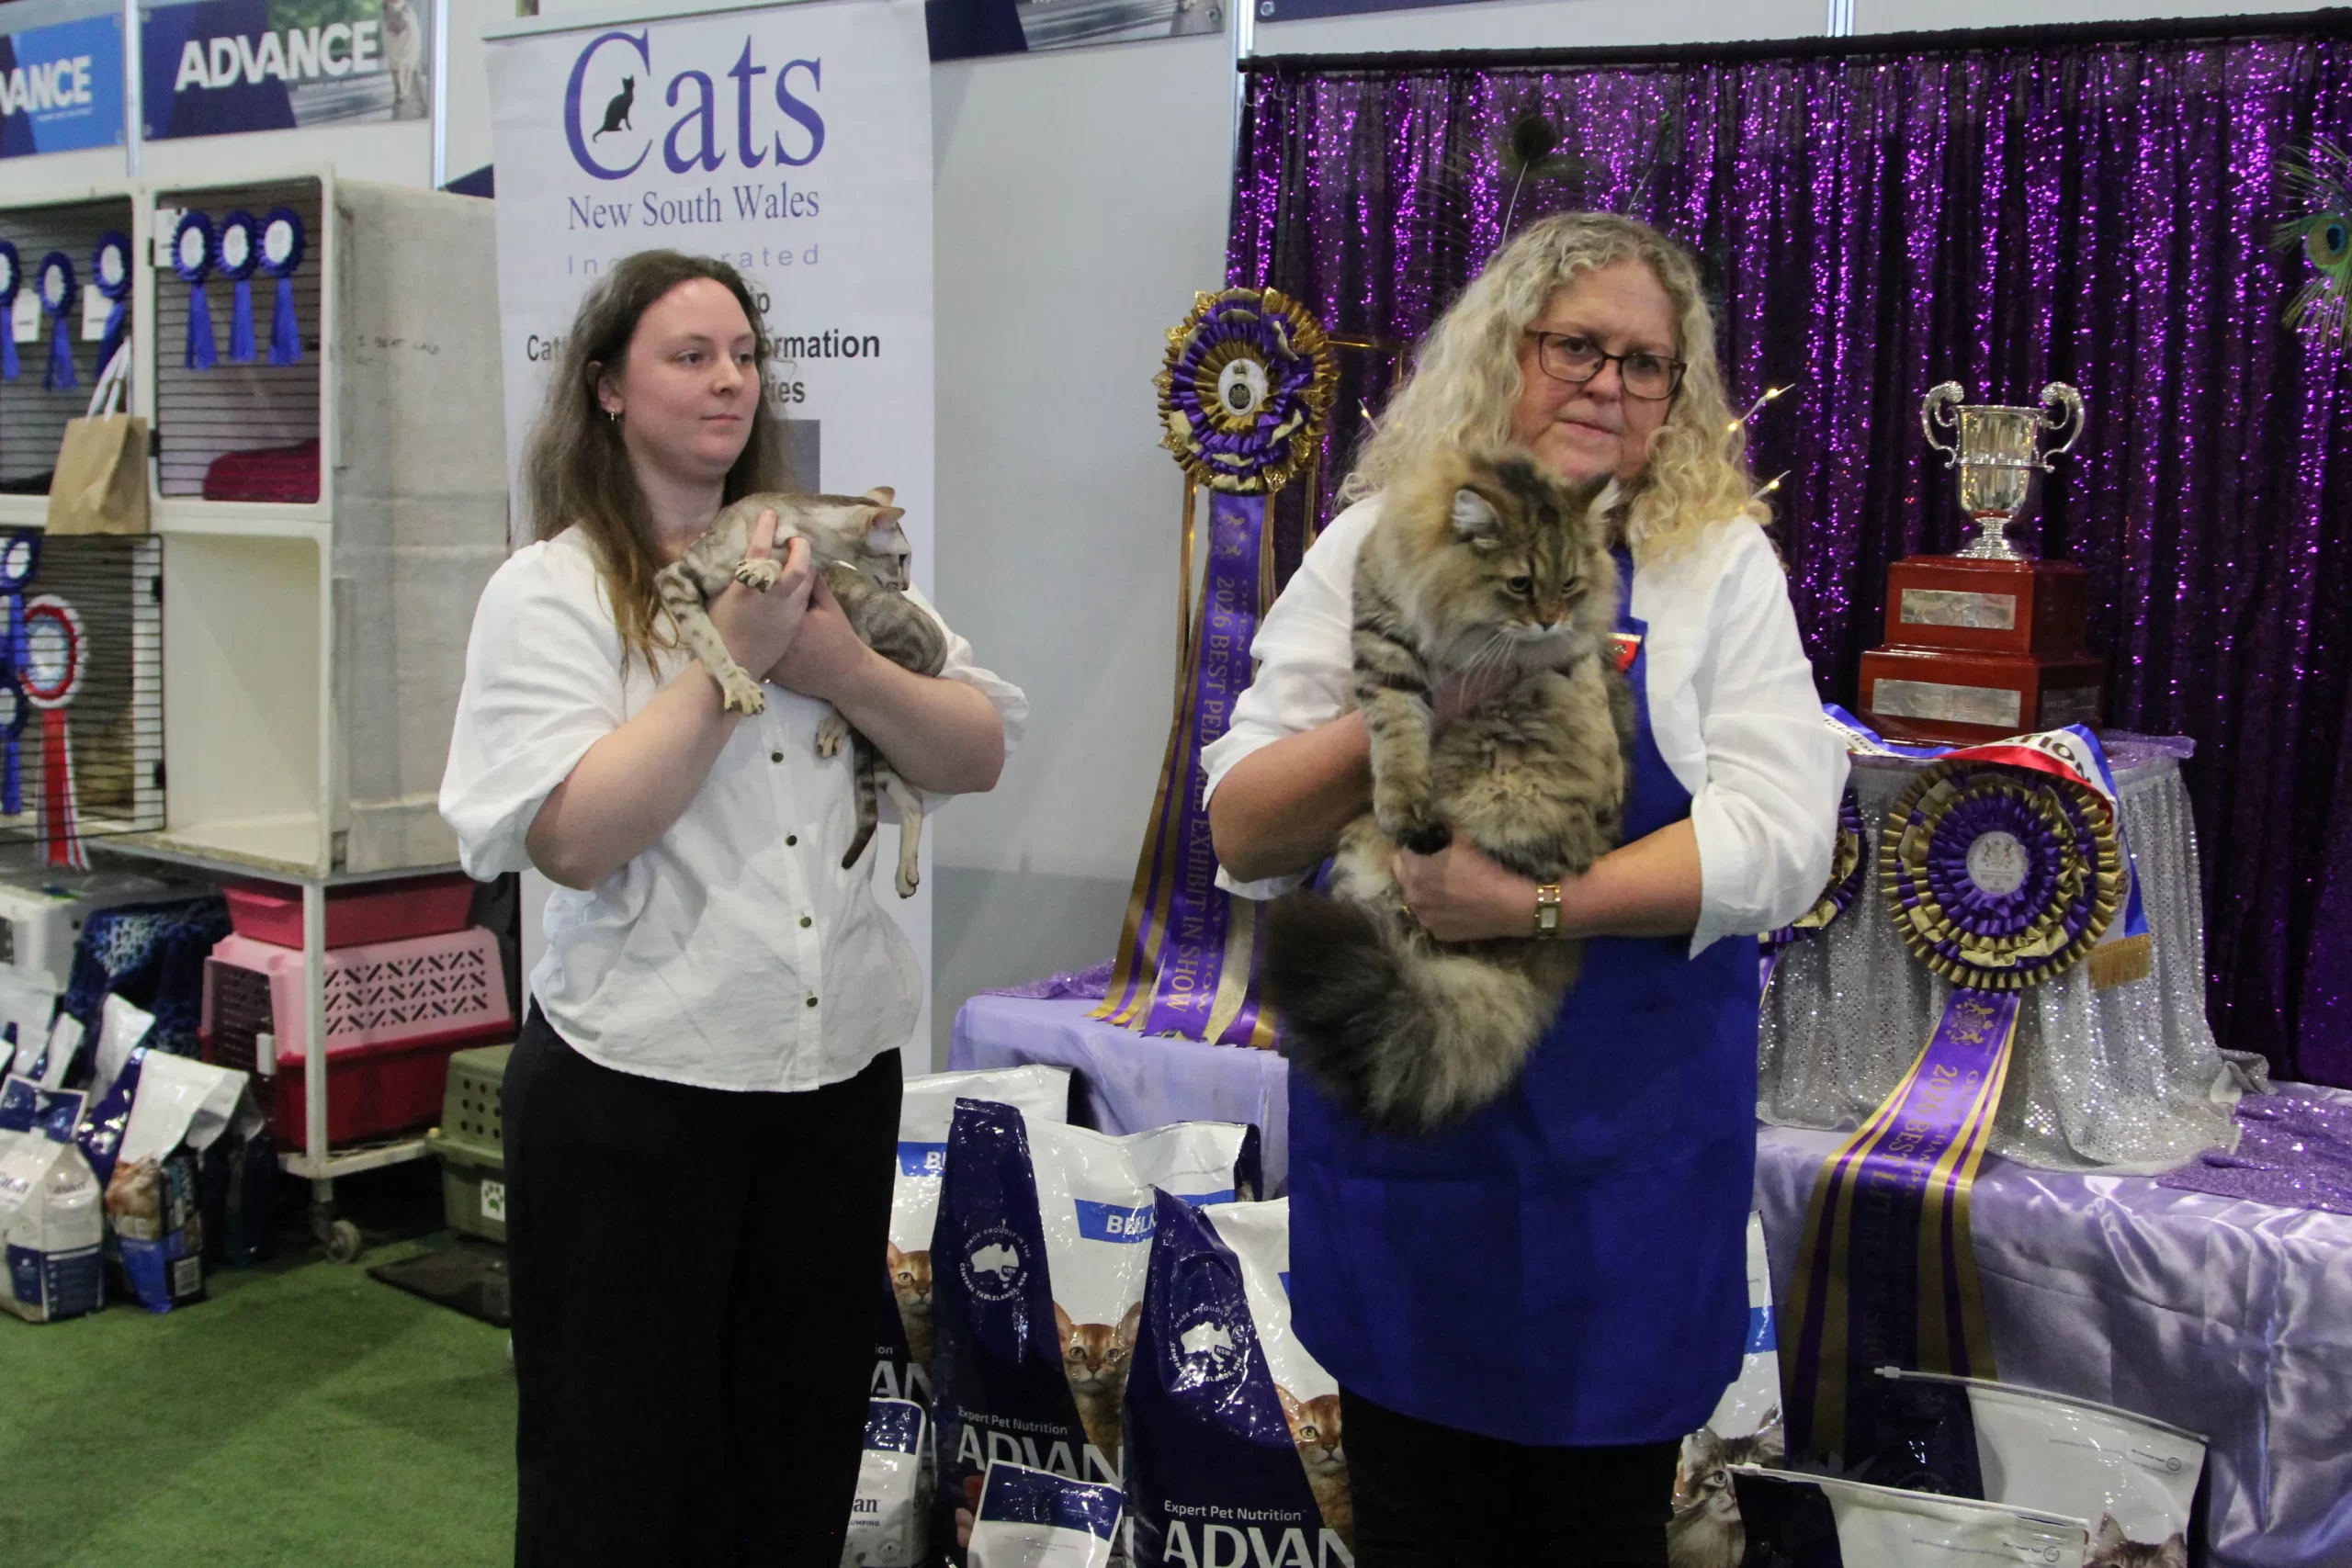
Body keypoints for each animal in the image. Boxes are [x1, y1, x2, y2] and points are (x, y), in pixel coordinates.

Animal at [653, 487, 948, 898]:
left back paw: (834, 728)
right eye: (902, 557)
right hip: (878, 744)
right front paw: (737, 683)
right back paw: (906, 871)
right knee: (911, 799)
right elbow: (707, 634)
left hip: (887, 649)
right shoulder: (677, 576)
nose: (906, 585)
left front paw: (764, 569)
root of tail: (939, 649)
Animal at [1261, 447, 1628, 1134]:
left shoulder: (1571, 654)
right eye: (1520, 584)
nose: (1548, 620)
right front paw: (1404, 798)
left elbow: (1592, 701)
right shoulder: (1387, 650)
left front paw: (1612, 773)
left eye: (1569, 586)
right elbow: (1397, 737)